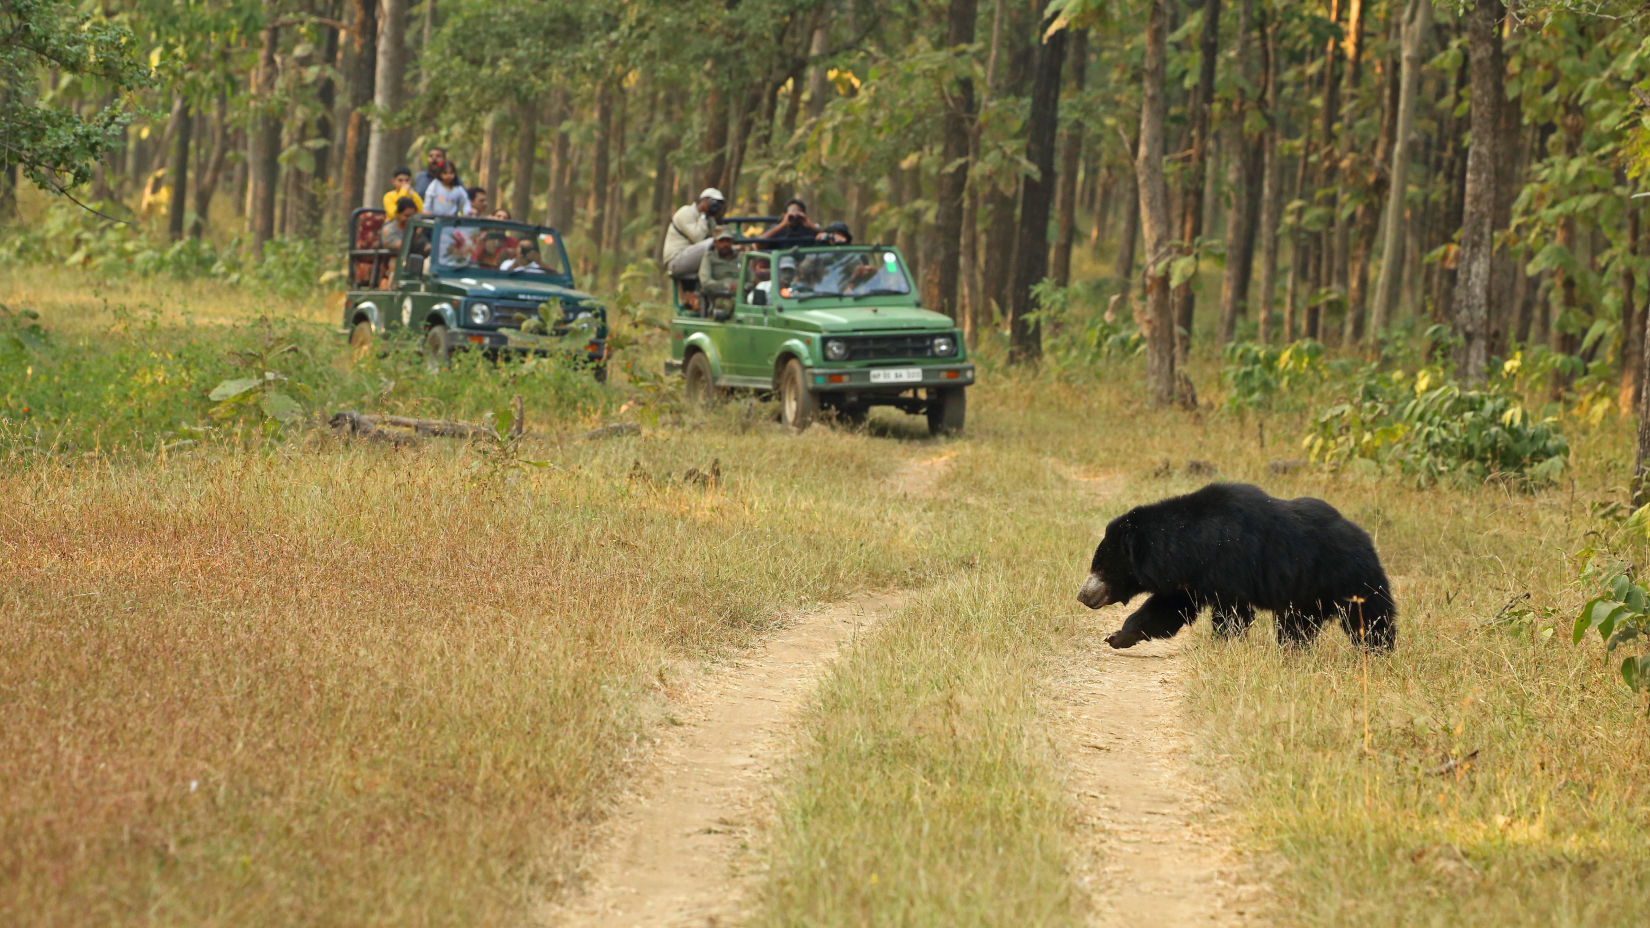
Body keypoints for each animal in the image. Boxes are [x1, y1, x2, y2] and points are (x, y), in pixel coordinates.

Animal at [1082, 478, 1392, 647]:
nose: (1082, 595)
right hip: (1307, 597)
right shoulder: (1191, 580)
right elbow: (1168, 608)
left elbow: (1232, 614)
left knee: (1371, 621)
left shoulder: (1230, 566)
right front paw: (1117, 637)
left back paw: (1377, 652)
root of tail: (1366, 540)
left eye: (1102, 567)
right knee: (1297, 626)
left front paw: (1222, 644)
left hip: (1349, 580)